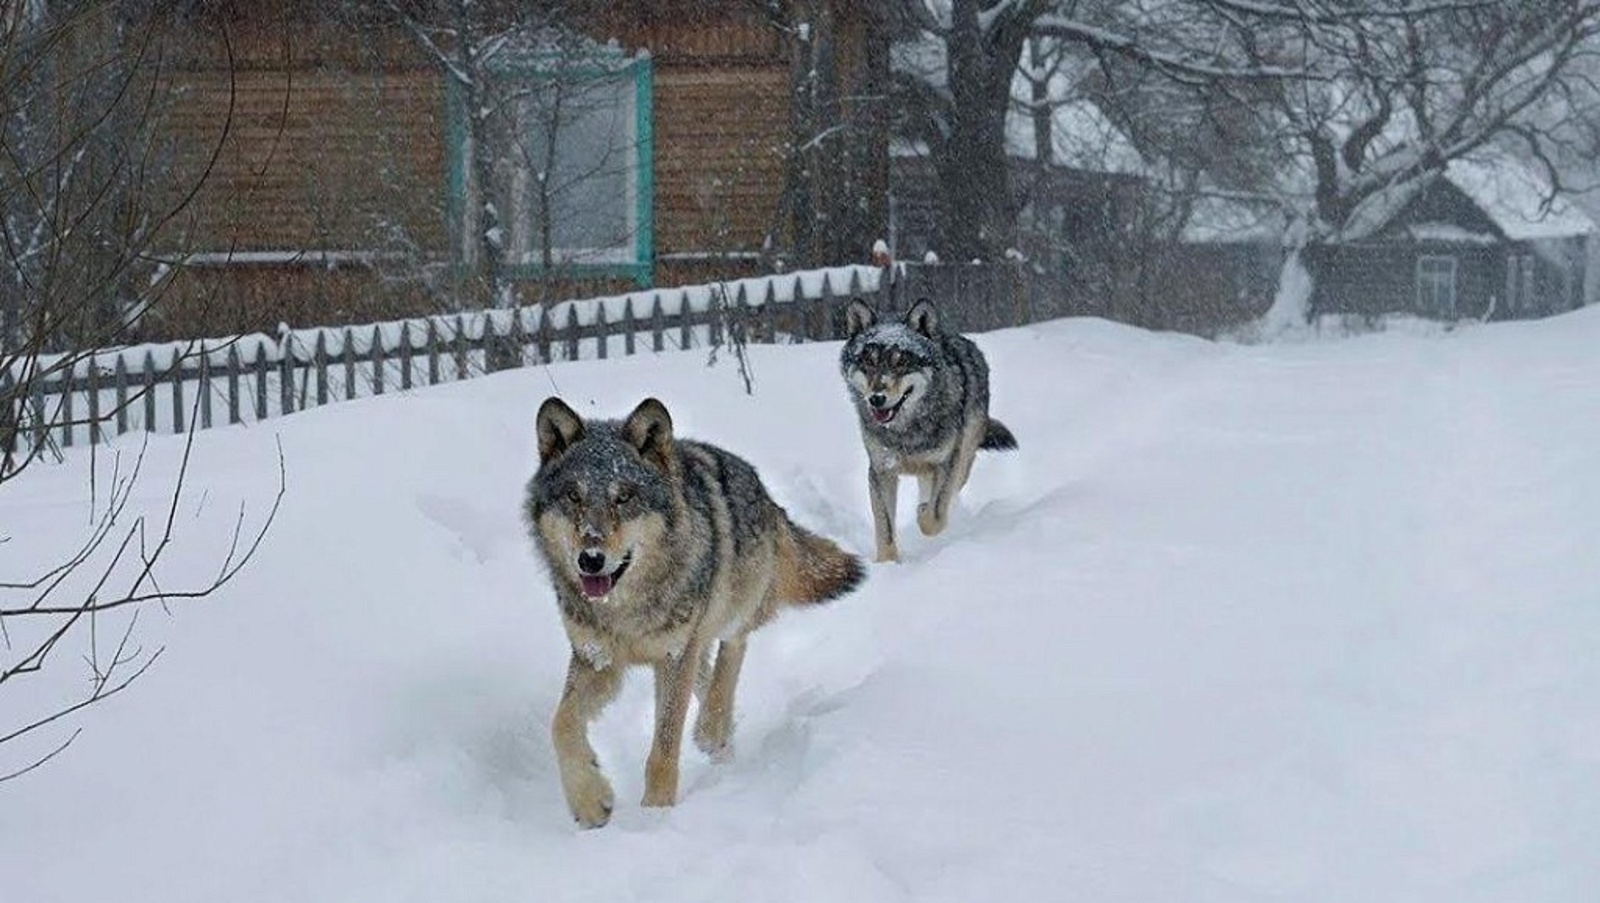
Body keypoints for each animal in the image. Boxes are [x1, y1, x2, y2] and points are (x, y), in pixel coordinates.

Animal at [524, 395, 864, 826]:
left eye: (624, 497)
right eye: (574, 497)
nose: (591, 560)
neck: (626, 610)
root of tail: (765, 491)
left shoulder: (673, 656)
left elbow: (665, 746)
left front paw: (656, 814)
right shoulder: (597, 659)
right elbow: (562, 724)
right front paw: (590, 800)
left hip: (730, 610)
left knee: (732, 651)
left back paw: (712, 727)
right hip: (692, 644)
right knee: (707, 672)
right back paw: (720, 738)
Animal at [838, 299, 1011, 560]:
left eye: (901, 362)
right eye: (869, 361)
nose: (877, 398)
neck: (906, 431)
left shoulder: (946, 464)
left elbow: (935, 516)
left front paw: (922, 512)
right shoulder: (881, 470)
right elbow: (885, 528)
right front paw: (887, 563)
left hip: (963, 459)